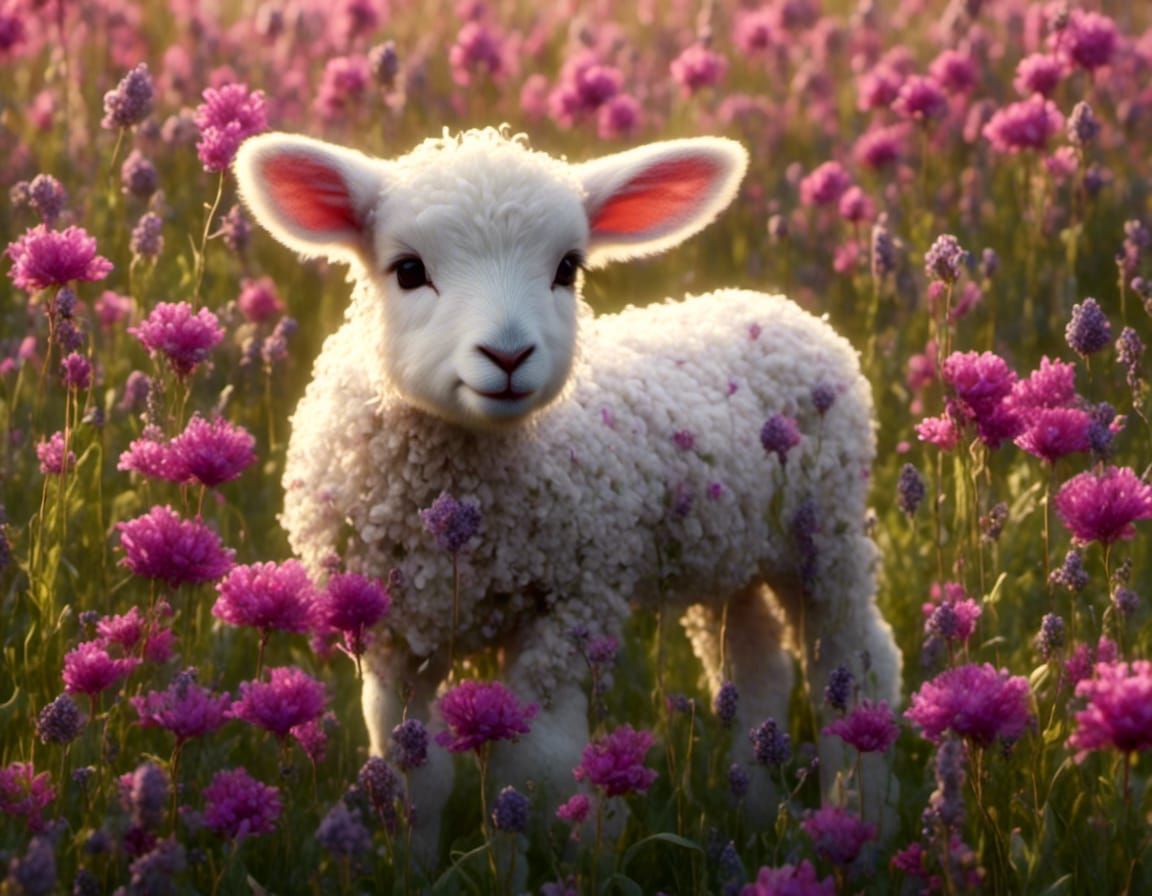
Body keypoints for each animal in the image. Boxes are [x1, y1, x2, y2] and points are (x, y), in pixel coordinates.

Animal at [234, 127, 902, 859]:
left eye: (567, 270)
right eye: (407, 270)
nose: (507, 356)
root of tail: (780, 308)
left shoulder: (573, 604)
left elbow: (537, 768)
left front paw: (554, 854)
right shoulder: (391, 632)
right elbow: (412, 774)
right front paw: (413, 863)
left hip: (826, 533)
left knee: (856, 661)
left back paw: (859, 820)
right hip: (730, 555)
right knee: (755, 669)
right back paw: (754, 811)